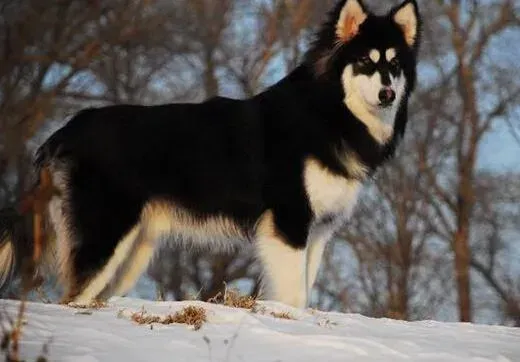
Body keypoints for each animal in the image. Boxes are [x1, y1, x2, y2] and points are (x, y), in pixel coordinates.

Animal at [0, 0, 420, 308]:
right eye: (365, 61)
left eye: (395, 64)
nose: (388, 94)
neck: (328, 112)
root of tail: (67, 128)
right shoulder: (288, 222)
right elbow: (294, 293)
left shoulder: (317, 232)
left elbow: (304, 288)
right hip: (104, 236)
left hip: (132, 251)